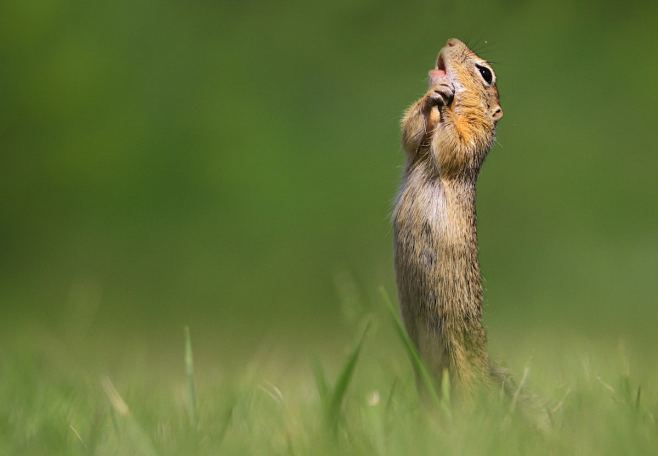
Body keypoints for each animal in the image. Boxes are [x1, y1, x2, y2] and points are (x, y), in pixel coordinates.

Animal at [392, 38, 504, 396]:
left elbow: (455, 143)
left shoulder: (474, 136)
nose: (451, 41)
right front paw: (432, 96)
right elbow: (411, 132)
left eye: (486, 73)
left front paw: (444, 99)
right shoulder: (416, 144)